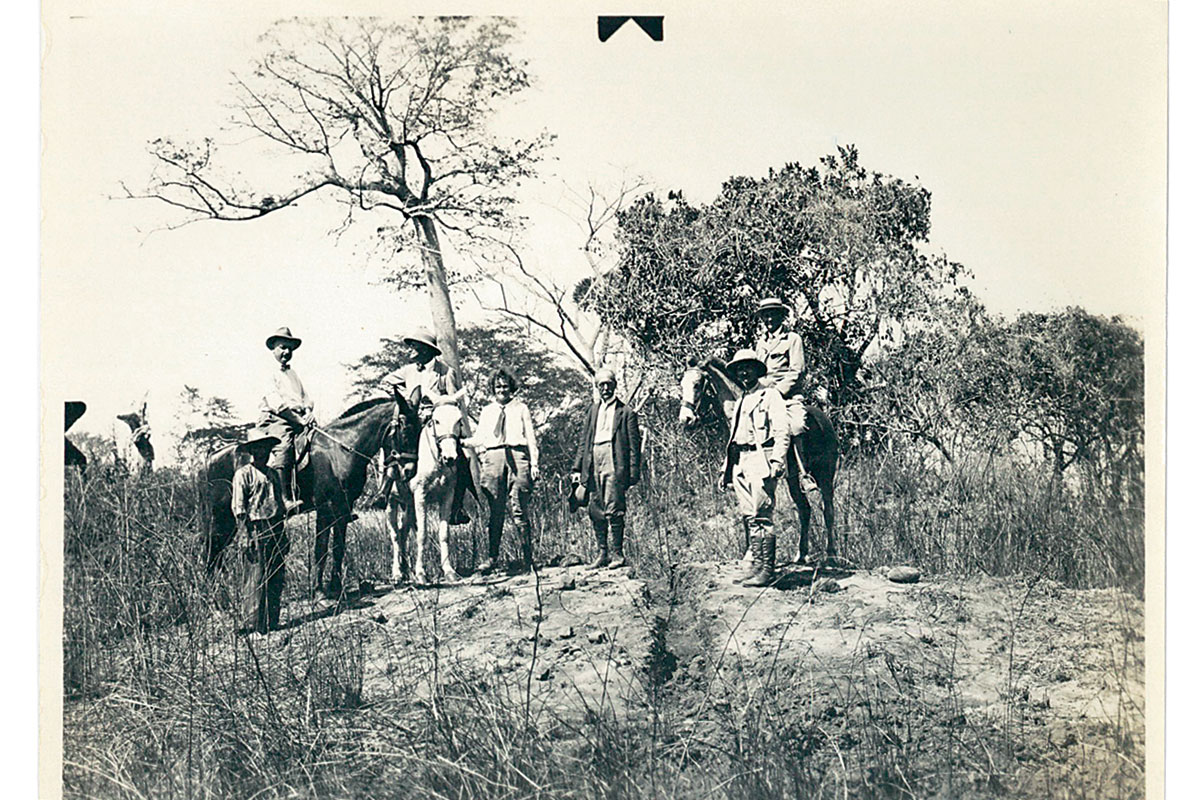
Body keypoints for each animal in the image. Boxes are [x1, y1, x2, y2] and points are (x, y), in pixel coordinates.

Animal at [200, 391, 417, 597]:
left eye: (420, 427)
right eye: (405, 430)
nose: (410, 471)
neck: (340, 449)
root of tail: (211, 458)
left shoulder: (344, 507)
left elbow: (338, 548)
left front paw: (336, 587)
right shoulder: (326, 507)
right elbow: (321, 548)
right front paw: (319, 590)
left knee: (216, 552)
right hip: (221, 516)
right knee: (212, 550)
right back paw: (213, 594)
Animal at [681, 357, 840, 563]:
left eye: (698, 384)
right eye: (682, 384)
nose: (685, 419)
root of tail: (825, 421)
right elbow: (747, 516)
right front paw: (749, 553)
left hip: (825, 474)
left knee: (828, 510)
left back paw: (831, 555)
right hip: (792, 479)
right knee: (805, 509)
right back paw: (801, 554)